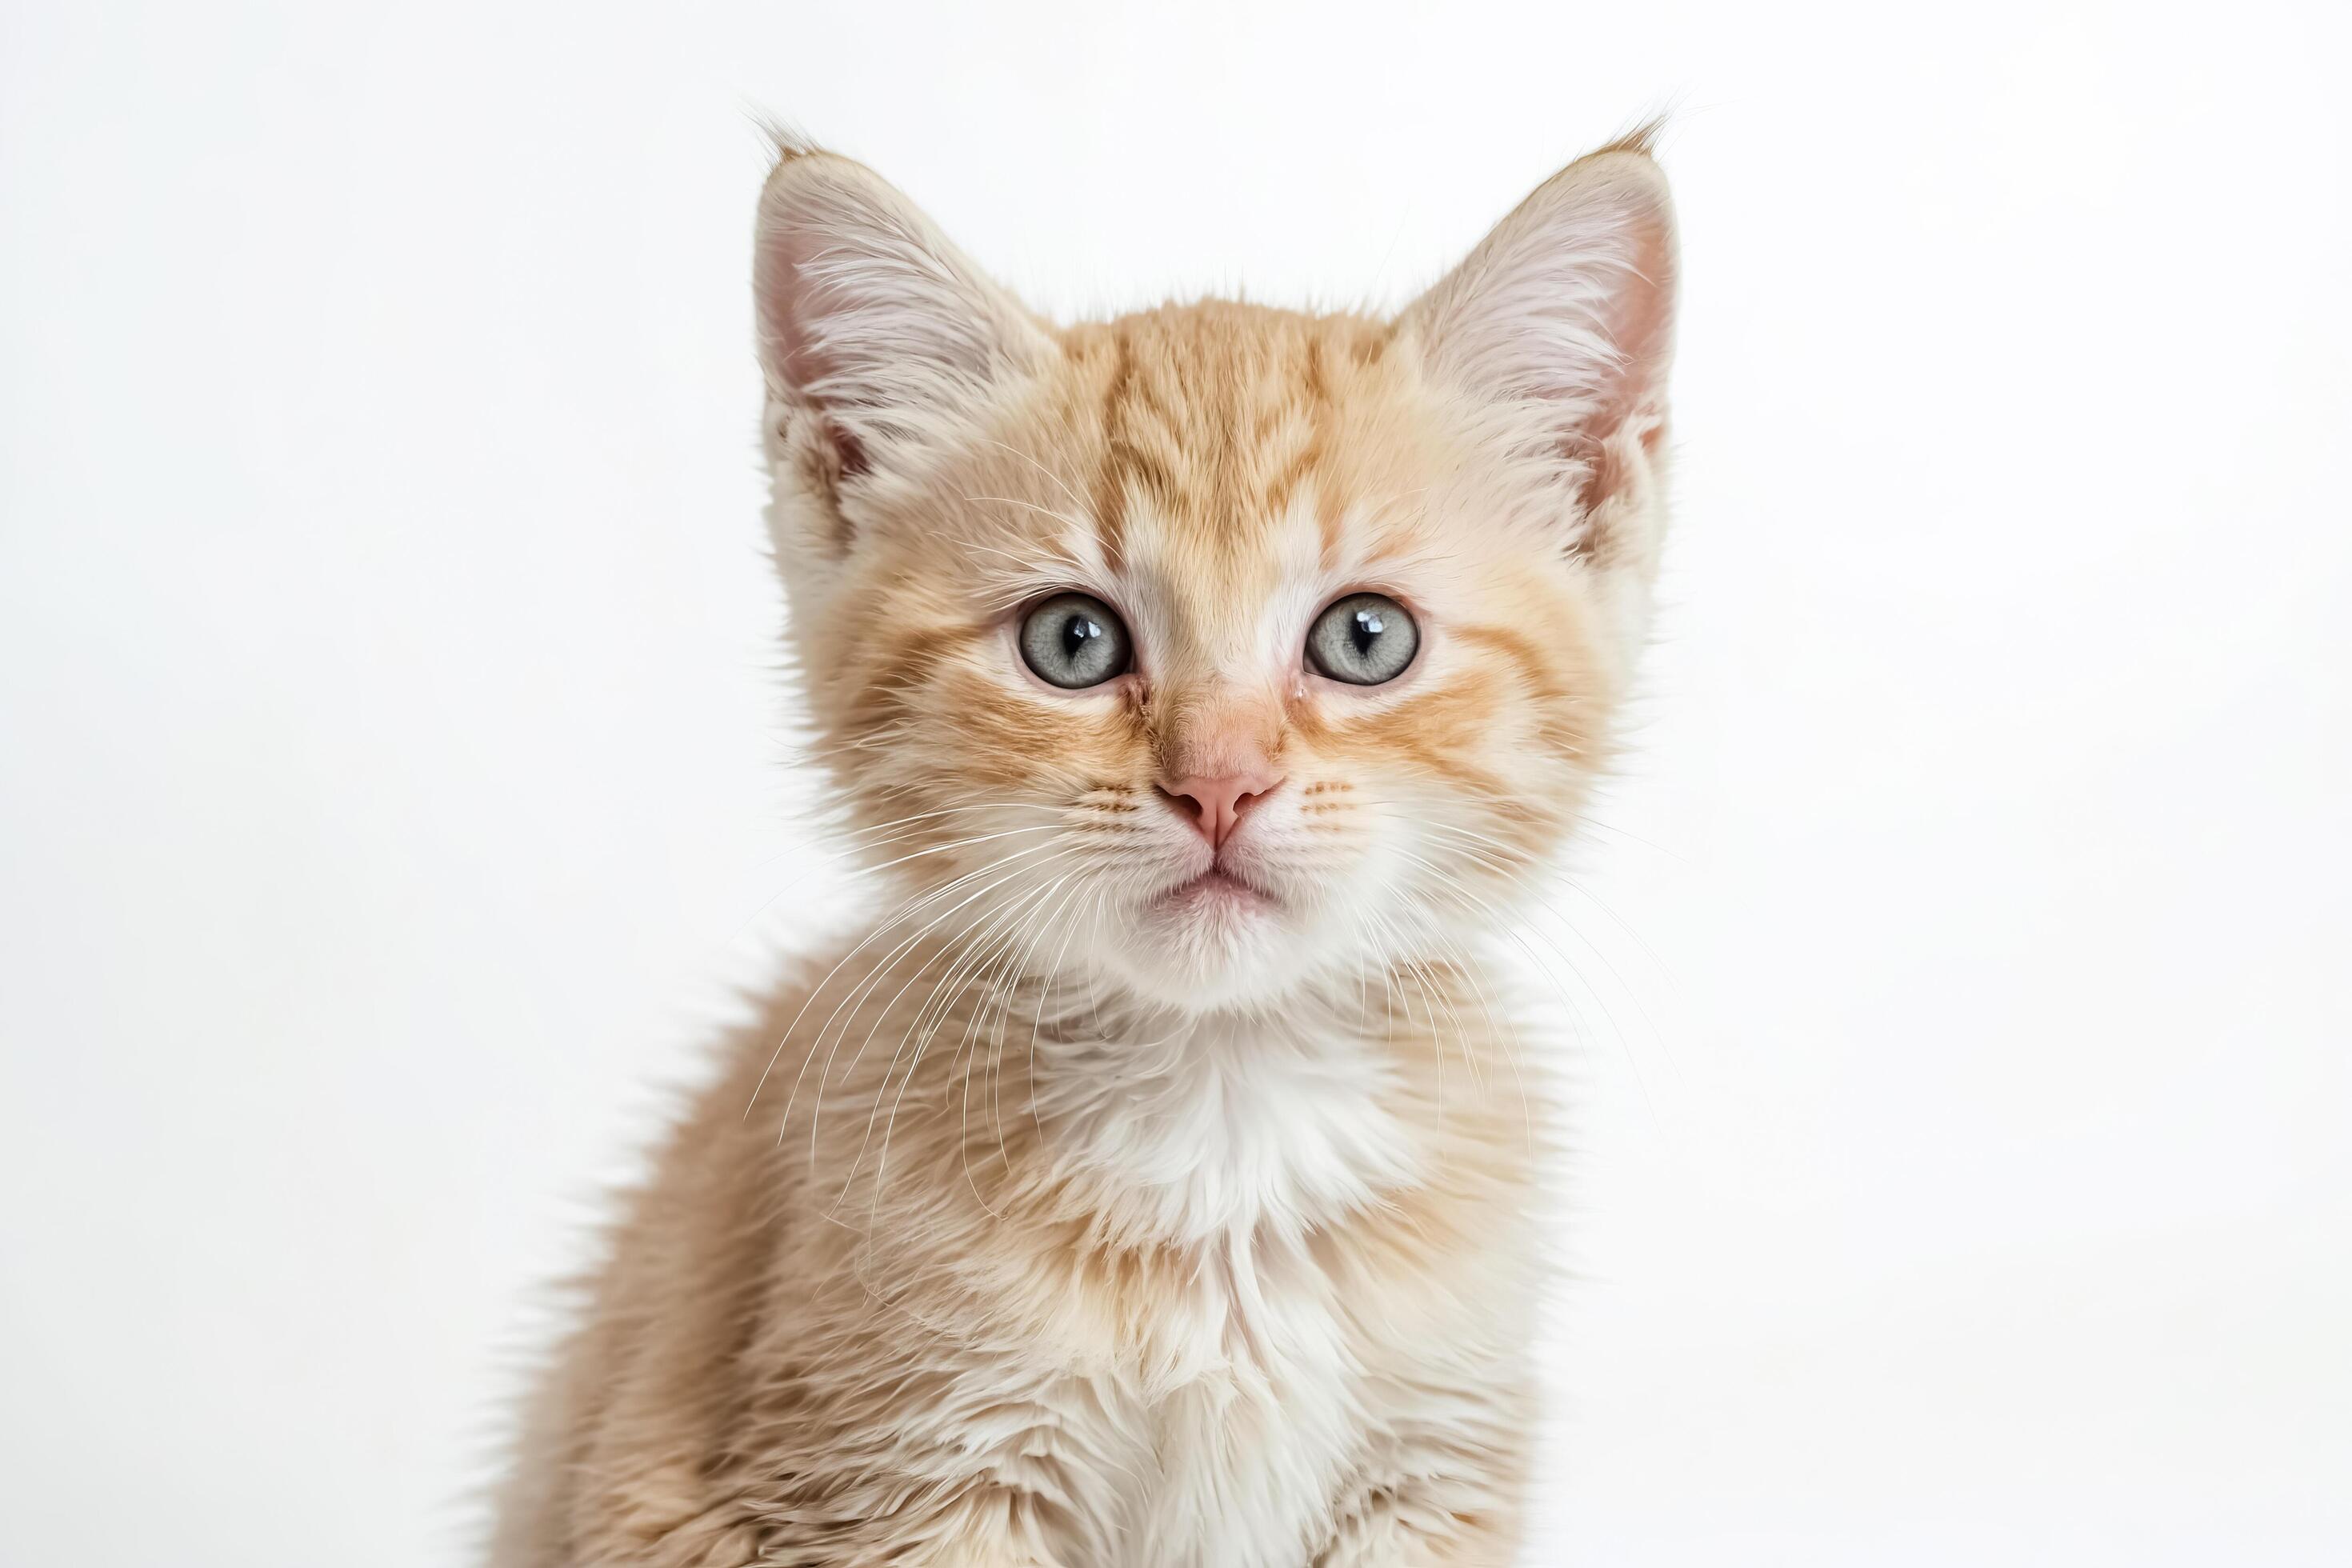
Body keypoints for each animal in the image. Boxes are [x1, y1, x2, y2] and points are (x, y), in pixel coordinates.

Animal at [491, 131, 1674, 1568]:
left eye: (1366, 638)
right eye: (1072, 641)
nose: (1218, 782)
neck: (1226, 1123)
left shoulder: (1431, 1466)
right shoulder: (880, 1477)